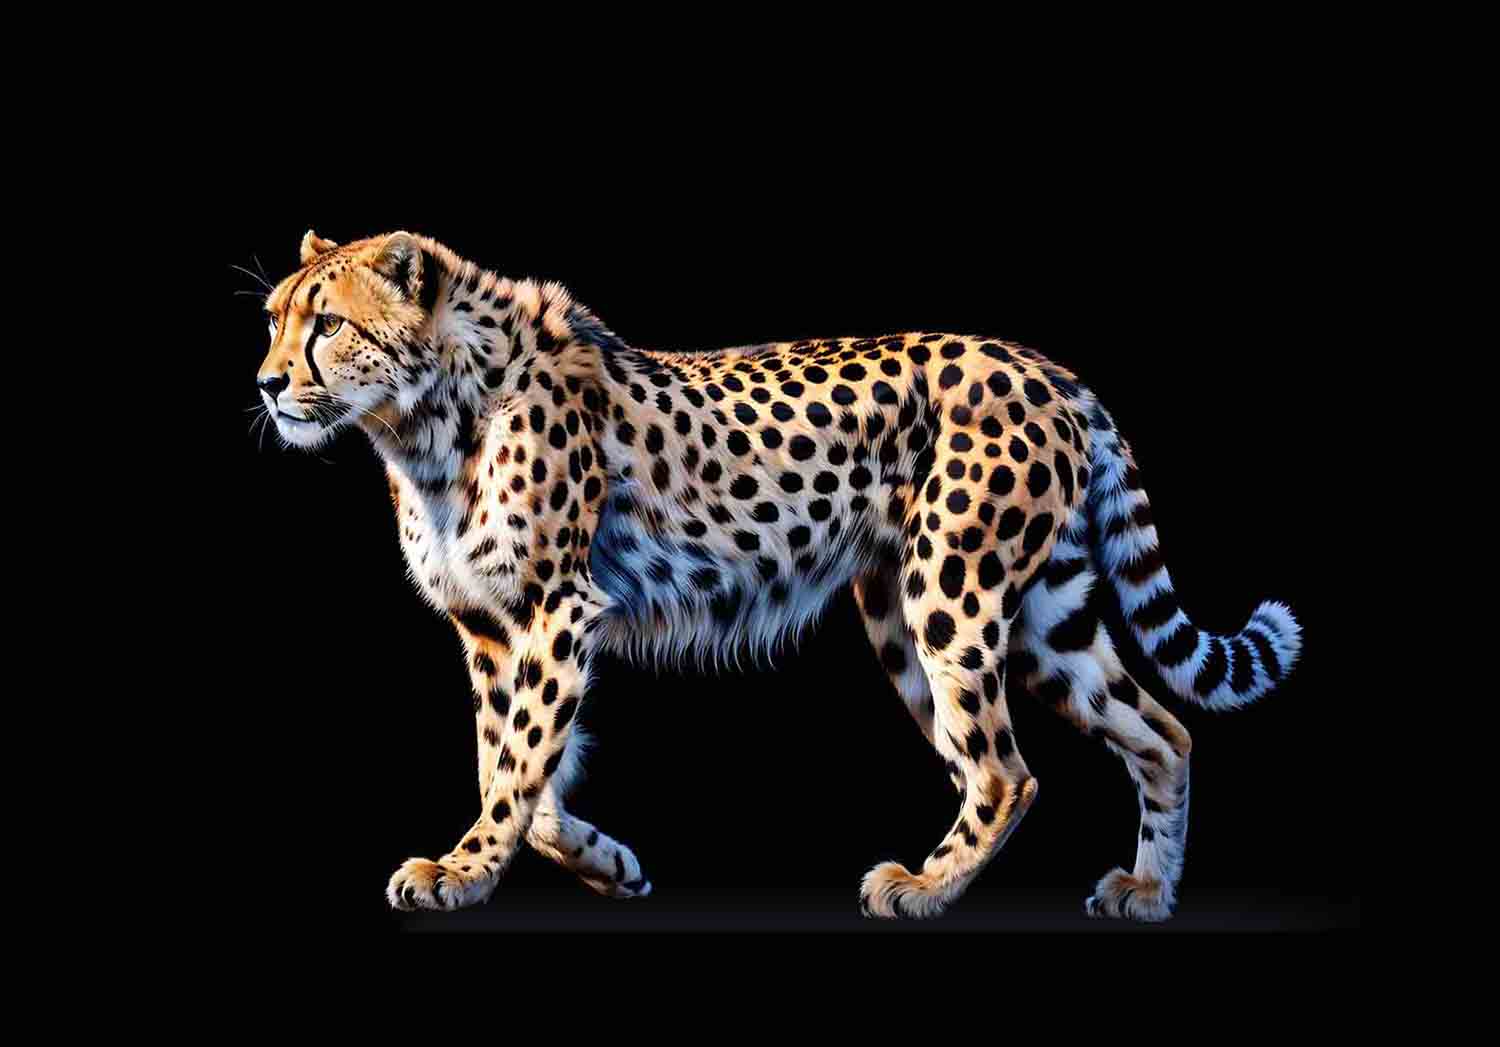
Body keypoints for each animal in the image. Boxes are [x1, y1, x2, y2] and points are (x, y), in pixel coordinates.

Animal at [252, 229, 1302, 921]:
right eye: (271, 321)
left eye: (328, 324)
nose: (265, 382)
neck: (421, 417)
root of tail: (1047, 364)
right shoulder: (492, 623)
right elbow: (517, 761)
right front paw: (605, 860)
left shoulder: (557, 609)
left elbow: (515, 763)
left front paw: (462, 870)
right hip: (1028, 609)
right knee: (1161, 729)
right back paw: (1150, 889)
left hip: (951, 593)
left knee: (1006, 770)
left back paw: (923, 886)